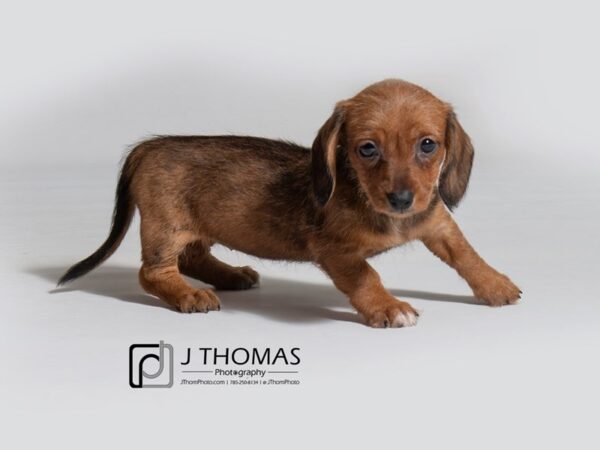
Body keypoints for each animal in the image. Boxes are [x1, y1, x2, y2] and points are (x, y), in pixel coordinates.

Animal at [59, 80, 520, 326]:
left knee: (193, 257)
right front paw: (389, 307)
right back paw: (189, 295)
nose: (402, 200)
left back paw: (231, 275)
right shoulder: (337, 252)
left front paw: (496, 285)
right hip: (165, 227)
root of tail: (148, 146)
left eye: (428, 145)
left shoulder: (437, 222)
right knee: (153, 273)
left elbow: (467, 255)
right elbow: (366, 276)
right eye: (367, 149)